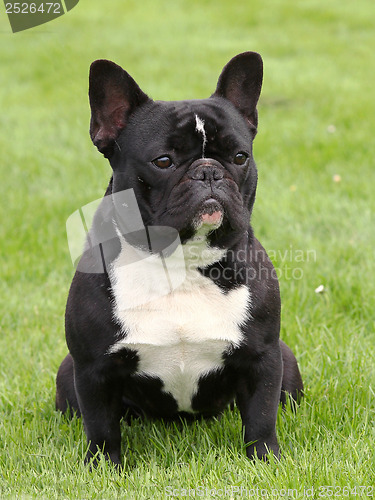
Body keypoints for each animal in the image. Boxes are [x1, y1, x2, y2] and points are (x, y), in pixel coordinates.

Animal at [55, 50, 302, 464]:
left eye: (239, 156)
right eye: (163, 161)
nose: (209, 172)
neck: (181, 263)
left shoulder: (263, 358)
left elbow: (261, 418)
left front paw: (266, 462)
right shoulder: (93, 369)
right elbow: (101, 427)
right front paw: (104, 467)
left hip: (288, 360)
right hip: (66, 371)